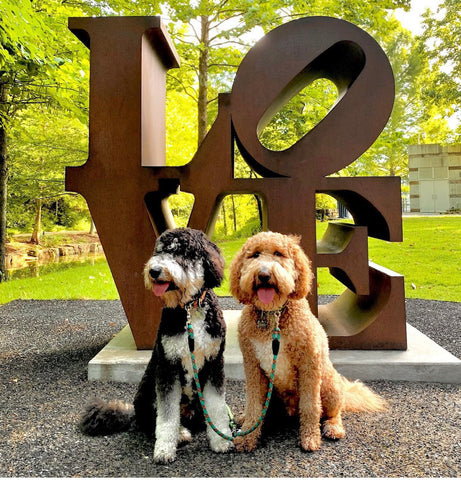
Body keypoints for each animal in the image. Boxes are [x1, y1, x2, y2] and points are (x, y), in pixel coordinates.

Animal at [79, 228, 232, 462]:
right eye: (158, 251)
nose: (154, 271)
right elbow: (166, 416)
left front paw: (221, 440)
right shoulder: (168, 367)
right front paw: (164, 449)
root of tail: (134, 413)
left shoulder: (214, 364)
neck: (189, 311)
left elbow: (217, 406)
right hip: (148, 394)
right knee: (152, 422)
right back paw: (180, 434)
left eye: (181, 252)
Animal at [229, 232, 384, 454]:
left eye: (279, 254)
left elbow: (311, 406)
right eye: (255, 255)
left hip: (329, 386)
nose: (264, 274)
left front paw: (310, 437)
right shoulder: (252, 365)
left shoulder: (309, 364)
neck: (274, 315)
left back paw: (333, 427)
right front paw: (248, 436)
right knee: (266, 411)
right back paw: (246, 420)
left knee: (332, 412)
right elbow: (254, 405)